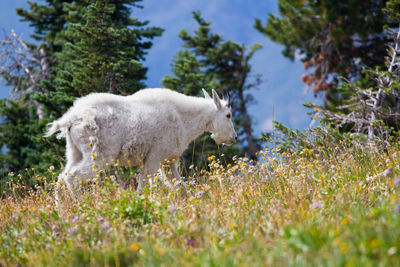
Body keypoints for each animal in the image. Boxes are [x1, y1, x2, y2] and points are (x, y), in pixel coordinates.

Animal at [44, 88, 238, 199]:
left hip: (74, 151)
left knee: (61, 177)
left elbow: (178, 185)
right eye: (228, 115)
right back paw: (80, 204)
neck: (184, 118)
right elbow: (147, 185)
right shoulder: (154, 157)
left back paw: (61, 210)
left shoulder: (168, 161)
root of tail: (70, 119)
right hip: (99, 155)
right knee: (72, 177)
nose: (233, 138)